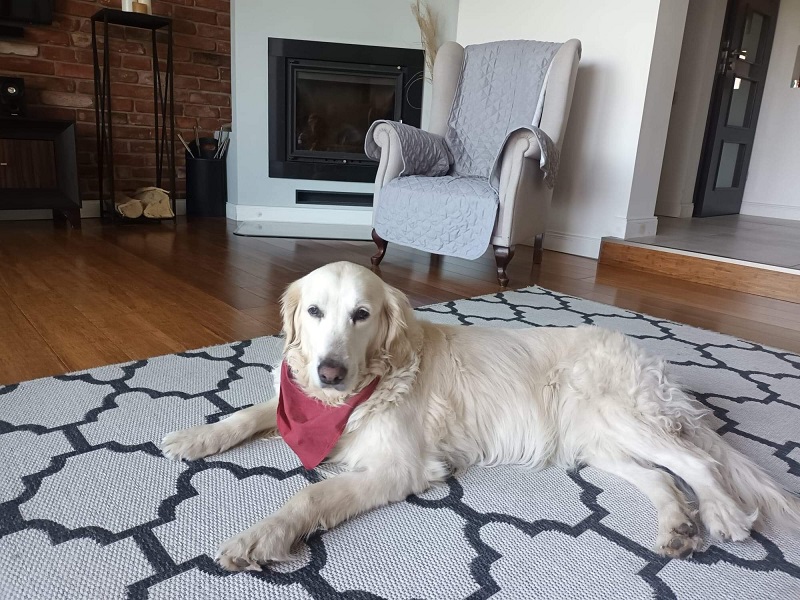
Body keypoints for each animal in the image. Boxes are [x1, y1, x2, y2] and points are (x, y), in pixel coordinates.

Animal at [162, 261, 800, 571]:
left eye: (362, 314)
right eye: (314, 312)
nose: (330, 372)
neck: (352, 397)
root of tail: (650, 360)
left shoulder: (400, 467)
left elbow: (309, 495)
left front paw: (260, 536)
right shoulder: (299, 401)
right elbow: (251, 412)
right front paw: (195, 436)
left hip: (622, 416)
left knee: (697, 465)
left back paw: (720, 513)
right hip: (599, 441)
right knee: (664, 478)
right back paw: (675, 527)